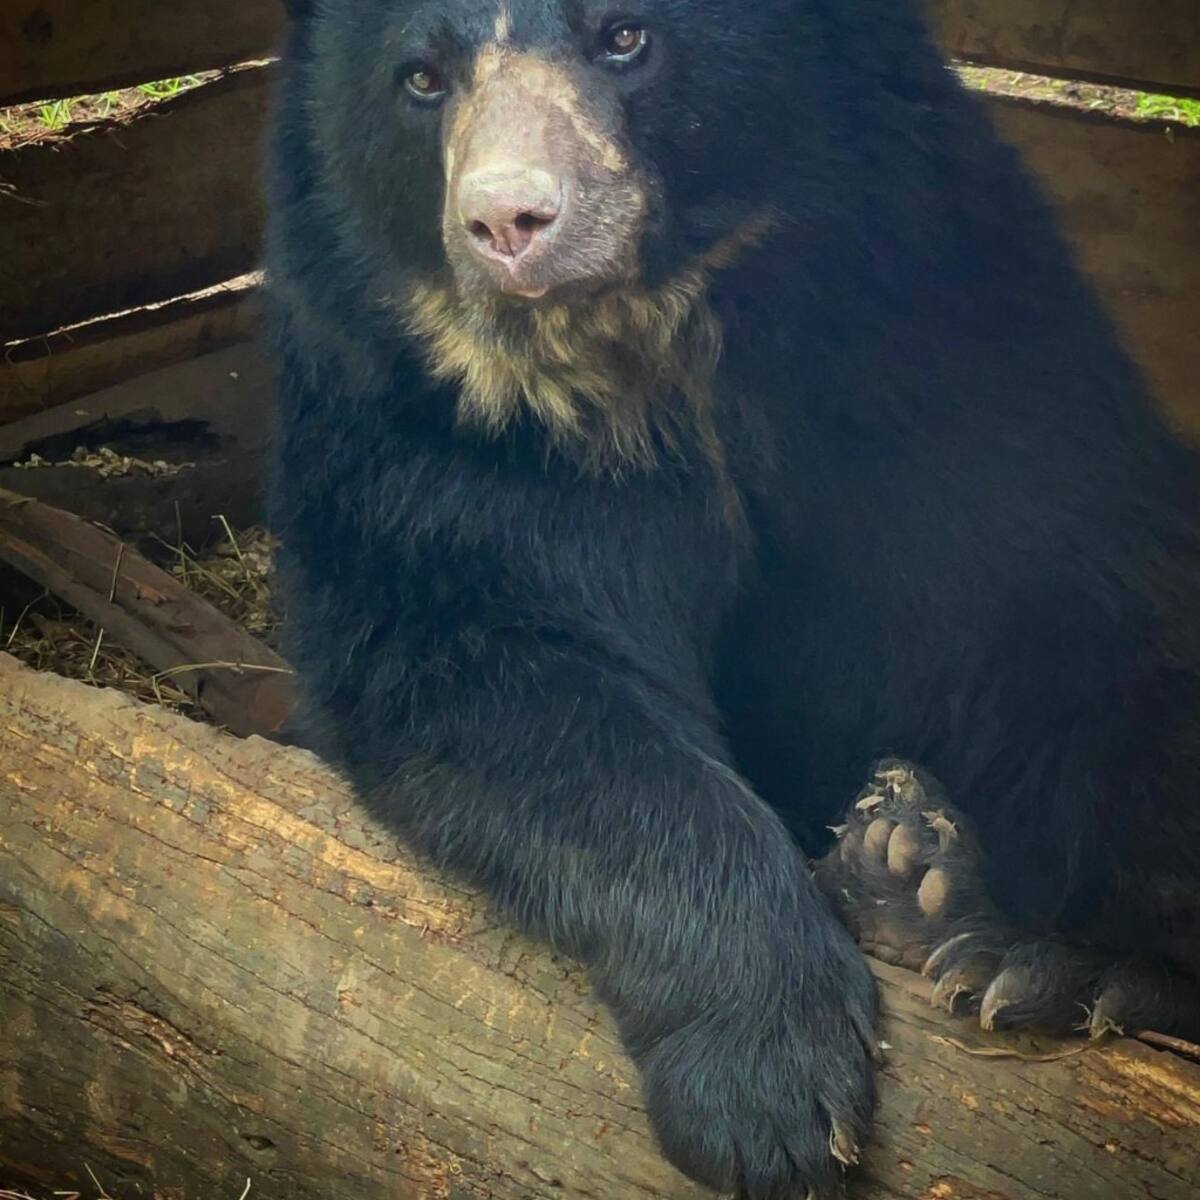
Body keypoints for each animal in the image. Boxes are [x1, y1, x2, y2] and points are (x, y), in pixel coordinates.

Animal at [265, 0, 1200, 1195]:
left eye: (626, 38)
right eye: (420, 79)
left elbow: (1069, 622)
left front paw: (1057, 958)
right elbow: (486, 669)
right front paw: (769, 1090)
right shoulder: (426, 442)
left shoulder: (948, 355)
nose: (508, 223)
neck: (654, 357)